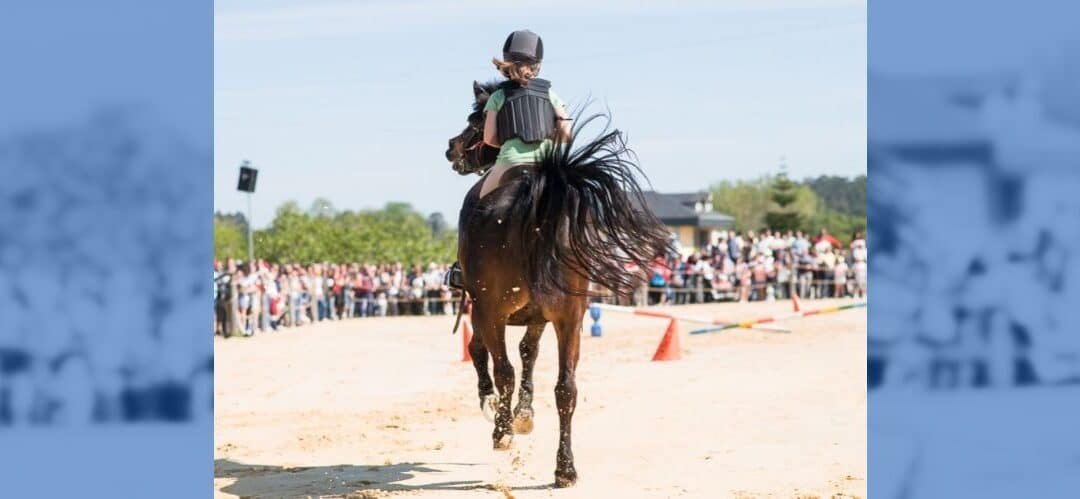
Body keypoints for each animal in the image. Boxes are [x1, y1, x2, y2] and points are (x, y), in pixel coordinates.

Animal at [445, 80, 671, 488]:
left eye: (474, 120)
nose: (452, 147)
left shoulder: (486, 310)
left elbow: (482, 353)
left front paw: (498, 409)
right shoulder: (540, 317)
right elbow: (529, 355)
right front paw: (525, 413)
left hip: (492, 311)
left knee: (502, 369)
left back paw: (502, 432)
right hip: (570, 318)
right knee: (566, 388)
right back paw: (565, 468)